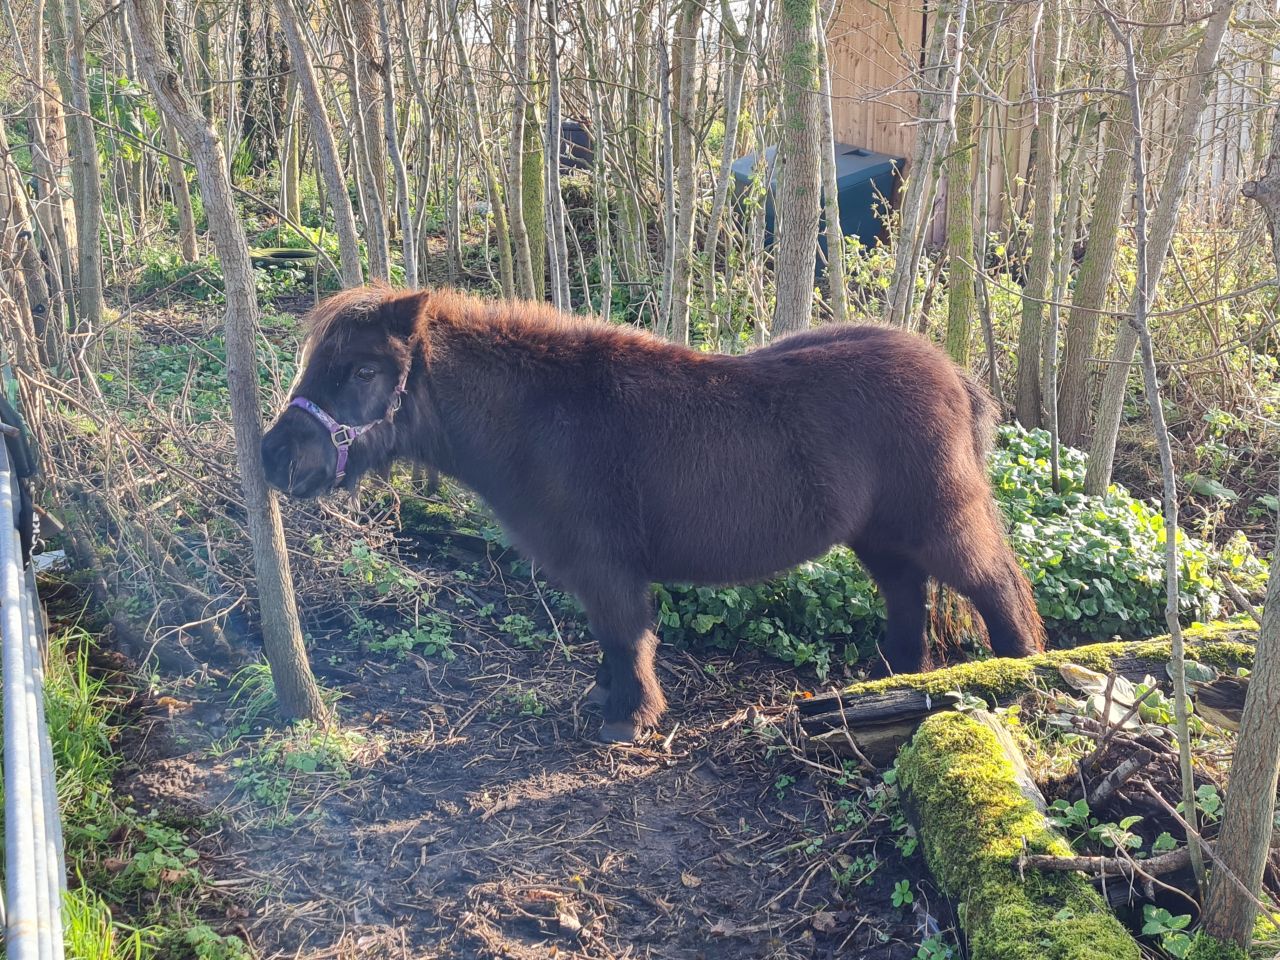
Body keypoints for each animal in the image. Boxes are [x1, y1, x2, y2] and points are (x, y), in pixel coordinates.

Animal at [262, 285, 1049, 742]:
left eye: (363, 371)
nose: (273, 457)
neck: (540, 419)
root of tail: (954, 373)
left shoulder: (607, 566)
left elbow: (625, 635)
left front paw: (628, 718)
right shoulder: (592, 570)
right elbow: (608, 639)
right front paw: (606, 699)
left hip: (941, 520)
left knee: (998, 586)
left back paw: (1018, 674)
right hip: (880, 536)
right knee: (907, 596)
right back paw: (891, 682)